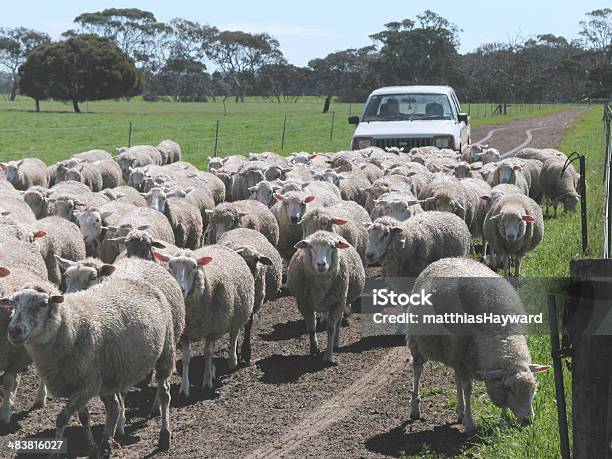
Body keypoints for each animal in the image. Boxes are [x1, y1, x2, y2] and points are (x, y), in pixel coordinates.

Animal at [2, 276, 179, 456]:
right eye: (14, 304)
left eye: (43, 304)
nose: (14, 331)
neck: (71, 325)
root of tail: (142, 282)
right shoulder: (77, 384)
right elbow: (84, 416)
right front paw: (92, 446)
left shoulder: (88, 384)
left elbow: (62, 418)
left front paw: (55, 452)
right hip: (109, 374)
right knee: (114, 407)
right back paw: (106, 444)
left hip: (166, 351)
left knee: (164, 394)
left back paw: (164, 437)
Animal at [155, 246, 256, 394]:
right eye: (171, 266)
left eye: (194, 266)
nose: (181, 289)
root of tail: (220, 246)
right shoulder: (185, 333)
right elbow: (186, 358)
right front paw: (184, 387)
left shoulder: (213, 328)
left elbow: (208, 353)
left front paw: (207, 382)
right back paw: (213, 370)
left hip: (237, 315)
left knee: (234, 334)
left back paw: (232, 361)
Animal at [286, 232, 366, 364]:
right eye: (311, 247)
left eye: (332, 247)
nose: (321, 264)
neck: (320, 286)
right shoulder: (303, 304)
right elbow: (311, 327)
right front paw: (314, 349)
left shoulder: (337, 303)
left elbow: (330, 329)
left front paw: (328, 355)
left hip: (341, 301)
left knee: (338, 323)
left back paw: (335, 343)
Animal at [406, 258, 548, 434]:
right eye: (511, 389)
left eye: (533, 389)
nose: (528, 421)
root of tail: (446, 259)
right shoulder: (461, 357)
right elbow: (468, 388)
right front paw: (470, 423)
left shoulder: (466, 359)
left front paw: (503, 417)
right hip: (419, 342)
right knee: (418, 369)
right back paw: (415, 408)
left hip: (454, 352)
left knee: (456, 378)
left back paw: (460, 411)